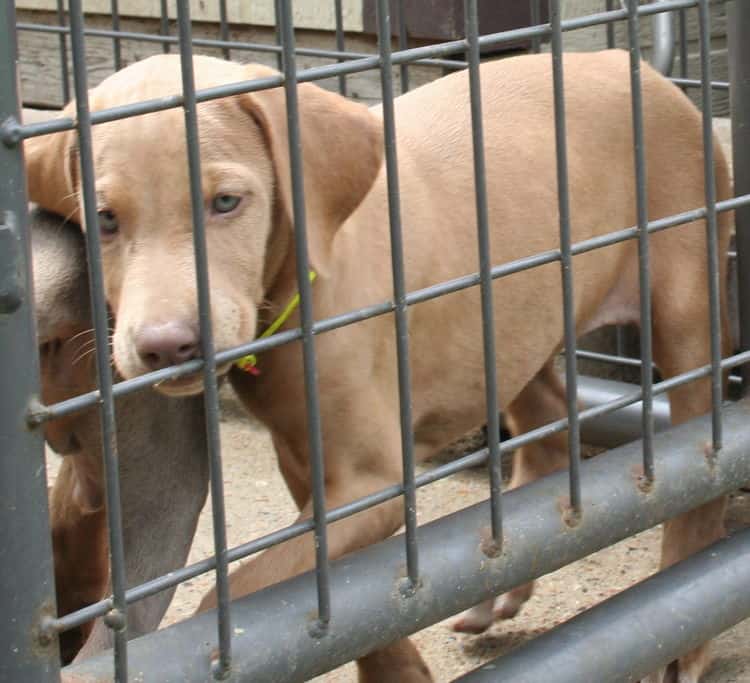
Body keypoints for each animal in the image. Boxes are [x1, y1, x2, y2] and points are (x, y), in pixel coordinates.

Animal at [27, 49, 736, 683]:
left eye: (226, 202)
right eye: (105, 219)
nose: (166, 347)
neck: (297, 289)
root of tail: (629, 62)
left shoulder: (371, 480)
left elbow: (252, 599)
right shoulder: (311, 469)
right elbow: (344, 600)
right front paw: (397, 664)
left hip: (685, 301)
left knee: (700, 460)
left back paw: (686, 637)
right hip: (508, 320)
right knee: (550, 426)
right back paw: (499, 588)